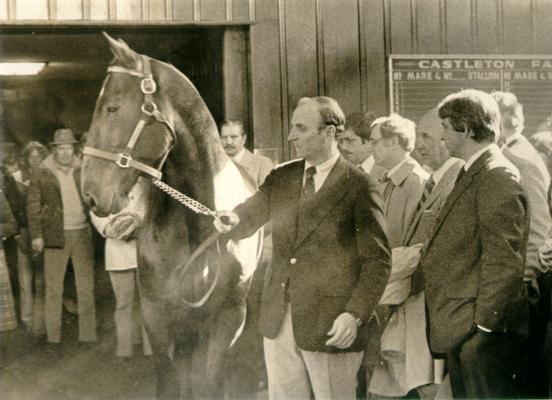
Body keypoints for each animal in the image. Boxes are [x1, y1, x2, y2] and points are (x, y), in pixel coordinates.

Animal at [81, 32, 264, 398]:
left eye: (111, 108)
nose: (90, 191)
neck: (202, 223)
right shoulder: (159, 318)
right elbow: (170, 383)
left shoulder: (228, 318)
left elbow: (210, 382)